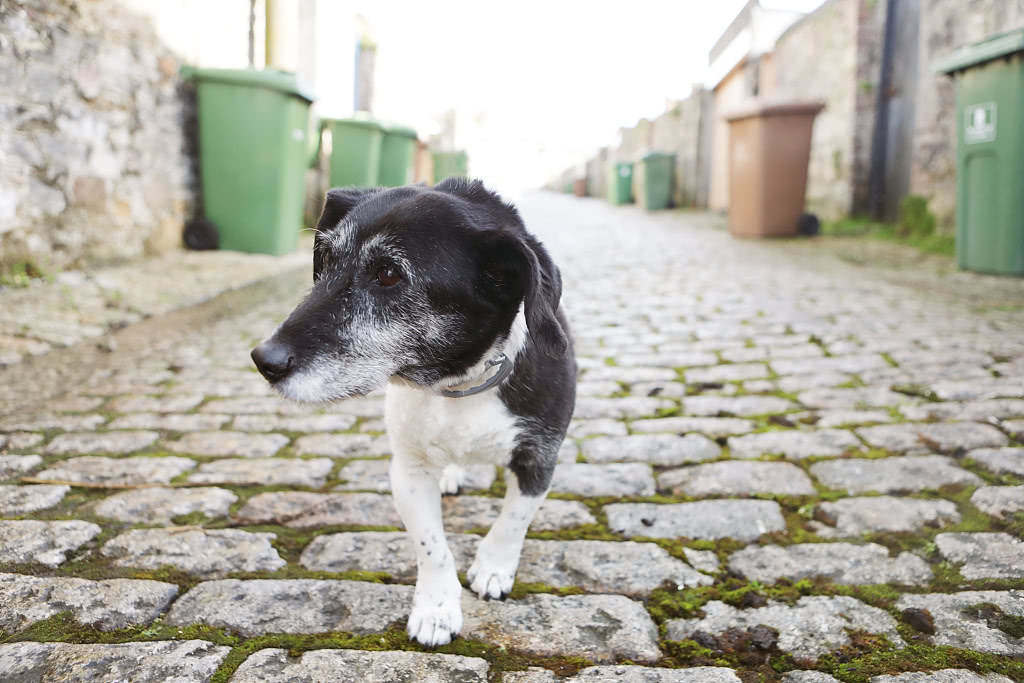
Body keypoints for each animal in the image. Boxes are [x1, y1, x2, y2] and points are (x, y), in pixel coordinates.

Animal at [248, 178, 577, 647]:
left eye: (388, 274)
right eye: (324, 258)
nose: (264, 360)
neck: (458, 384)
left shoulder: (539, 459)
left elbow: (513, 521)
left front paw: (493, 569)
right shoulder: (408, 470)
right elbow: (432, 547)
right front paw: (437, 610)